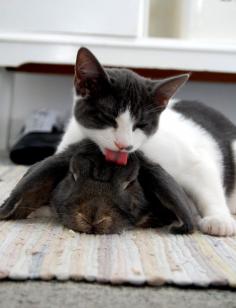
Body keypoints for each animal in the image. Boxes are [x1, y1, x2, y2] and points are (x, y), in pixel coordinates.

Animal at [57, 47, 236, 237]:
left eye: (141, 124)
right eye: (107, 118)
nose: (124, 145)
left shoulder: (189, 157)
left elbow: (205, 177)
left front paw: (219, 219)